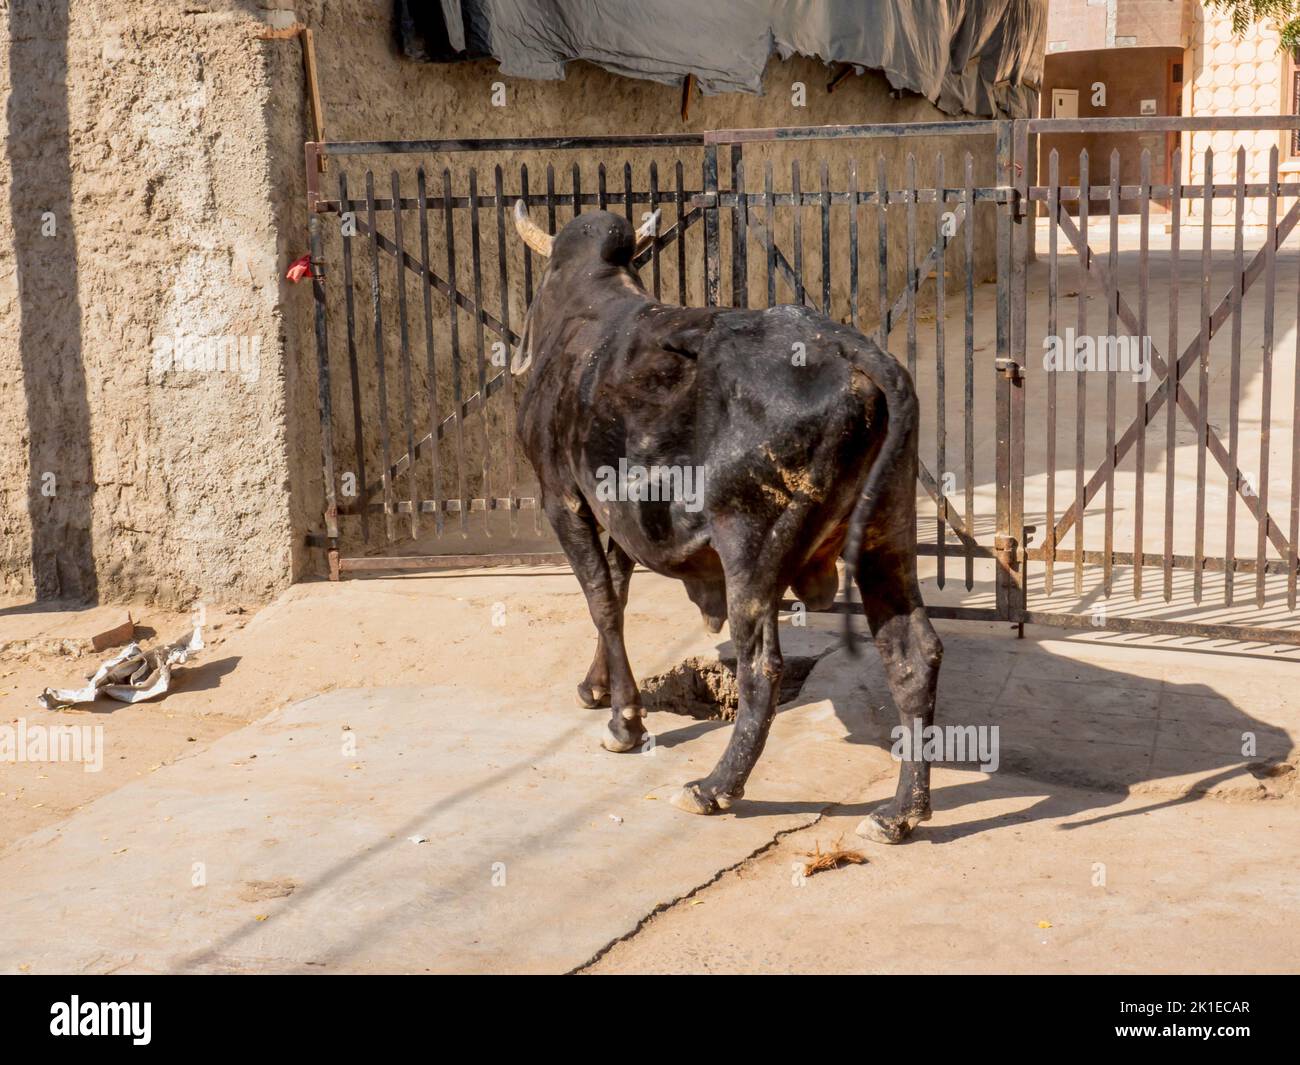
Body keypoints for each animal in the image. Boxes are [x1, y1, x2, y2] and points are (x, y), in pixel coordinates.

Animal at [510, 202, 942, 844]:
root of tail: (855, 352)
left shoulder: (562, 497)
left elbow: (602, 601)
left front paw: (624, 722)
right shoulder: (617, 510)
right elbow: (618, 588)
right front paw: (598, 687)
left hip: (751, 548)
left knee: (761, 667)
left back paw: (715, 787)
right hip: (887, 535)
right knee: (913, 655)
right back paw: (898, 813)